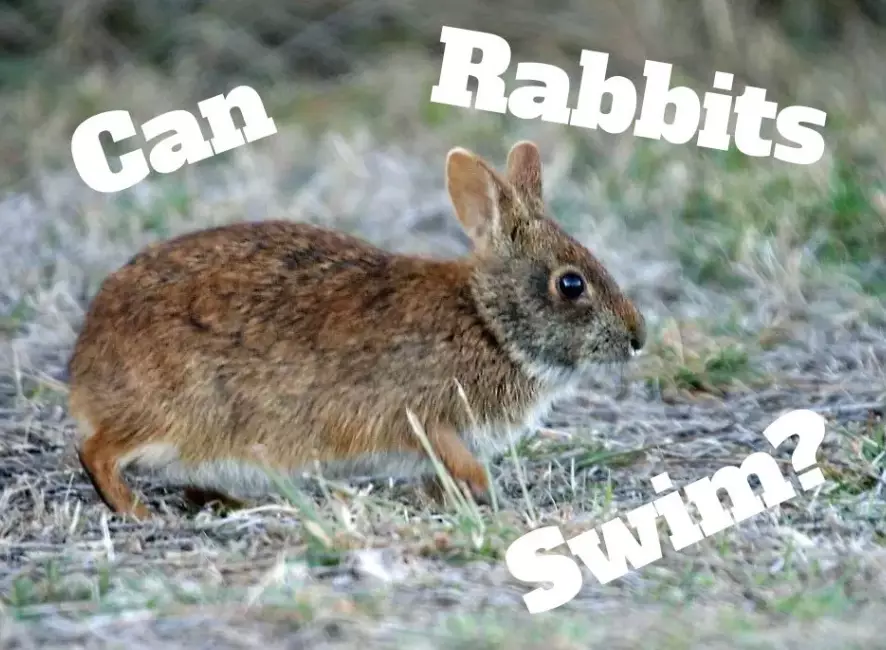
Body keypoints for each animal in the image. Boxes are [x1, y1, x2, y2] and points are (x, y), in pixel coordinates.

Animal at [67, 140, 646, 520]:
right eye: (570, 284)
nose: (637, 338)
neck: (488, 322)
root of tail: (84, 373)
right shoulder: (425, 413)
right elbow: (452, 454)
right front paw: (488, 491)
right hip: (177, 413)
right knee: (97, 451)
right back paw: (136, 511)